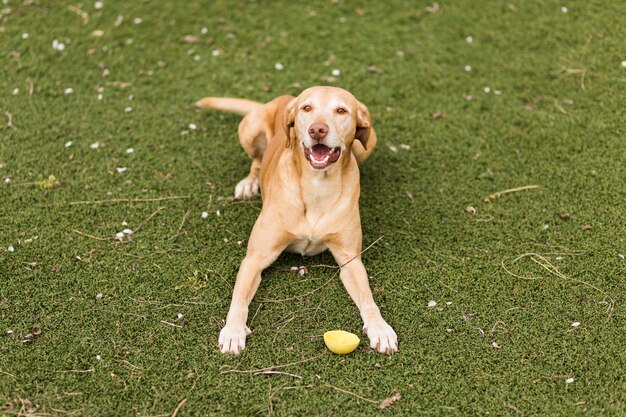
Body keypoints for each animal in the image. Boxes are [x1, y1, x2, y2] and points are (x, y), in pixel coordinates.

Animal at [197, 86, 398, 352]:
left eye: (341, 110)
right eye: (307, 108)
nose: (317, 129)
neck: (317, 186)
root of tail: (285, 98)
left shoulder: (350, 260)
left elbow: (367, 298)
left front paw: (380, 328)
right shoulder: (254, 258)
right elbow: (238, 300)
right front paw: (233, 331)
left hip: (369, 142)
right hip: (249, 129)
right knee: (257, 161)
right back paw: (249, 182)